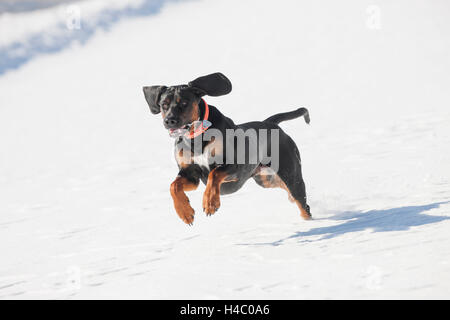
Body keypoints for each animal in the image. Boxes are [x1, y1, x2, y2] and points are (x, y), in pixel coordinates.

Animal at [142, 72, 312, 225]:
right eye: (163, 105)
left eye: (184, 103)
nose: (169, 120)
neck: (196, 138)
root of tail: (270, 123)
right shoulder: (191, 174)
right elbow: (174, 186)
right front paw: (185, 212)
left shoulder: (234, 166)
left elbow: (214, 174)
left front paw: (210, 202)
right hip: (264, 179)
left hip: (291, 174)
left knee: (302, 203)